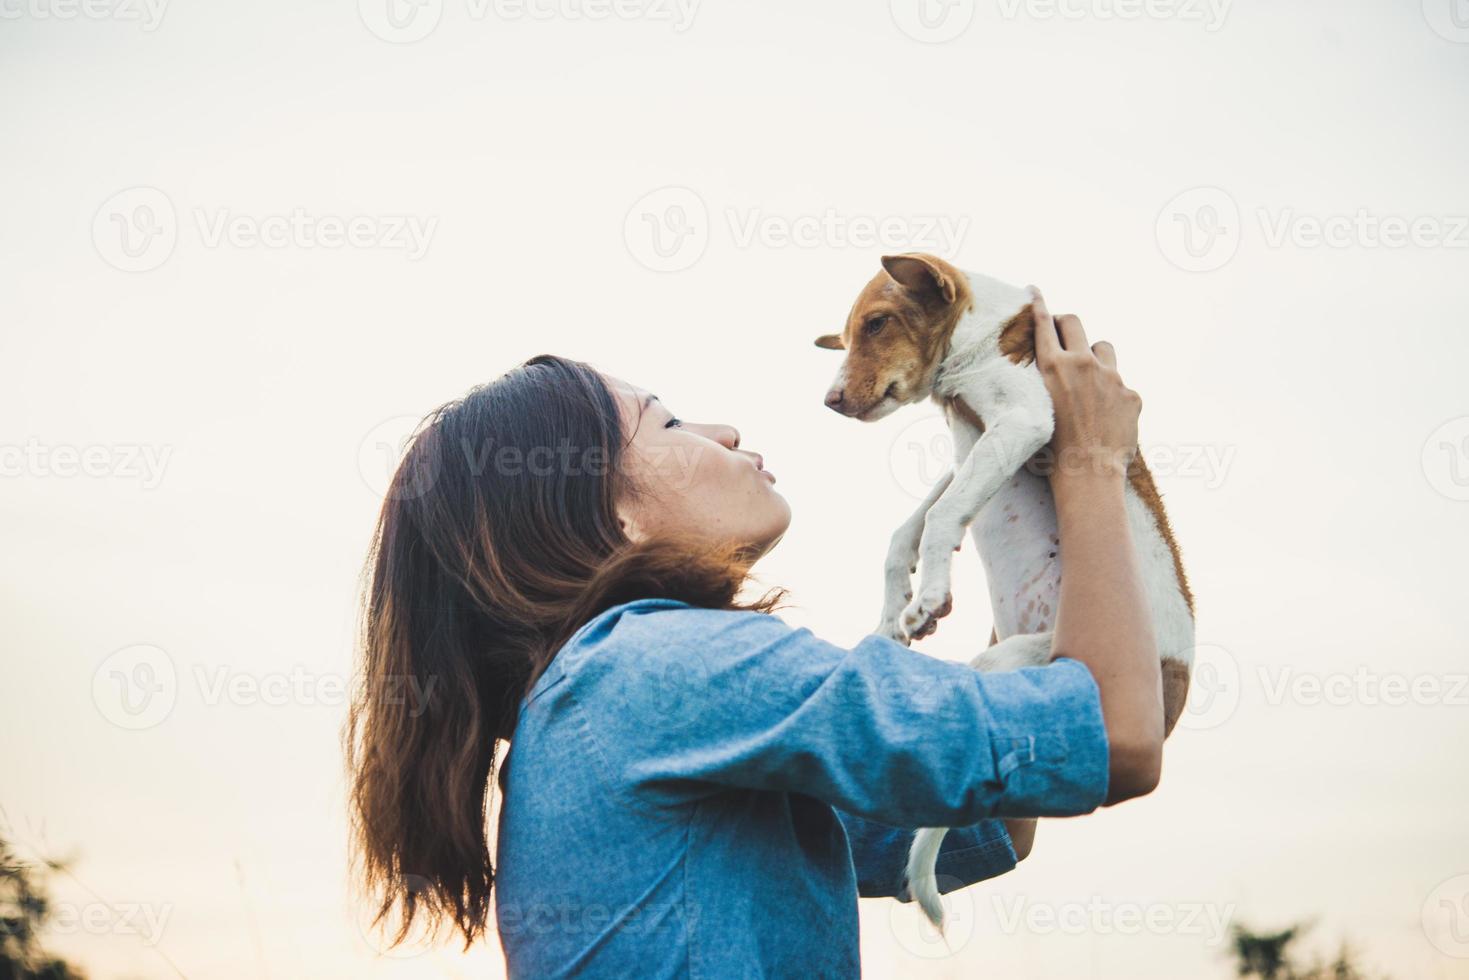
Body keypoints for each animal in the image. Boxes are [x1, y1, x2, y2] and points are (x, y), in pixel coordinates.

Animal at [816, 251, 1192, 928]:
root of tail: (1174, 691)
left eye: (877, 324)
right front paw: (892, 613)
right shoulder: (974, 451)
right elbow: (906, 531)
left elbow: (941, 517)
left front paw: (929, 595)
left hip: (1014, 665)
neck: (971, 345)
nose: (829, 401)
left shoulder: (1021, 421)